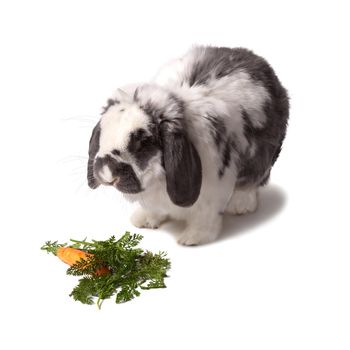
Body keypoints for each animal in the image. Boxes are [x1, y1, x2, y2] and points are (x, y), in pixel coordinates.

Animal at [87, 45, 290, 245]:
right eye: (103, 132)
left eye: (143, 142)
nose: (106, 172)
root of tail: (257, 60)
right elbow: (153, 210)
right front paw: (142, 221)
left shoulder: (211, 195)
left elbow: (204, 219)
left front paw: (192, 239)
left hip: (263, 156)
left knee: (253, 179)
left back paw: (241, 205)